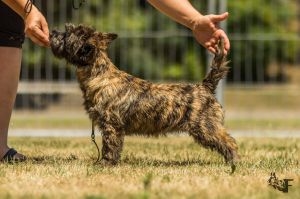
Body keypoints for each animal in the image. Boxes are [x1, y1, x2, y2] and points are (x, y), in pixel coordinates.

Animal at [51, 23, 239, 172]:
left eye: (68, 33)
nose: (53, 32)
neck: (98, 74)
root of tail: (205, 87)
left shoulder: (111, 124)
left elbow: (110, 146)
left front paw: (105, 163)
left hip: (206, 127)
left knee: (229, 142)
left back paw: (233, 163)